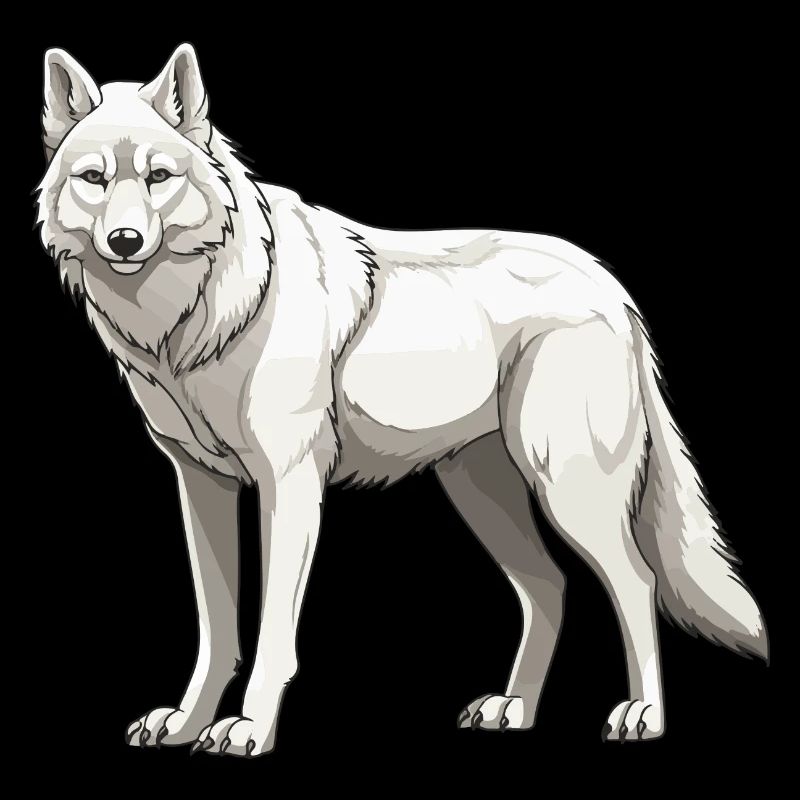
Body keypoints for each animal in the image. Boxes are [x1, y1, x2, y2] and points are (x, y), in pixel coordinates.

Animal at [37, 43, 767, 757]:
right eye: (94, 179)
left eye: (160, 176)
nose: (124, 242)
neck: (194, 318)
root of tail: (612, 287)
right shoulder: (199, 484)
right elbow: (217, 628)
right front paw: (187, 724)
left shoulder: (288, 484)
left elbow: (272, 632)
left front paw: (247, 728)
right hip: (481, 493)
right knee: (549, 587)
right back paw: (514, 709)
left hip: (566, 488)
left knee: (636, 582)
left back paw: (643, 714)